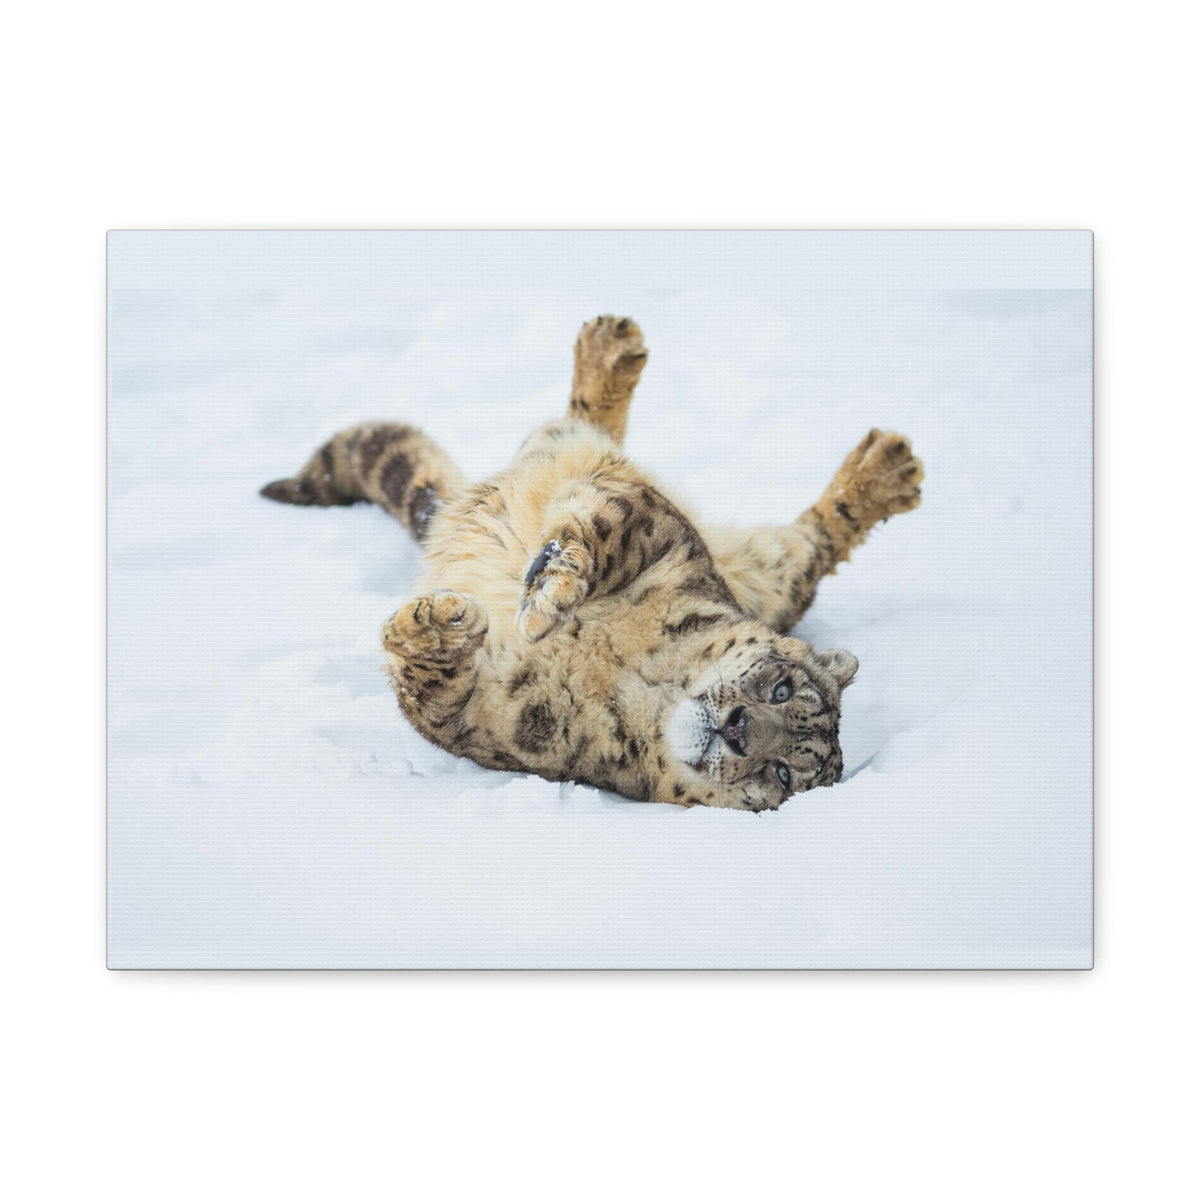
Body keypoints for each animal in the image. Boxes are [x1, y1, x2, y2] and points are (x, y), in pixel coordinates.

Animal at [261, 316, 923, 811]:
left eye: (783, 774)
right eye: (782, 689)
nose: (738, 729)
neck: (640, 678)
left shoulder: (500, 725)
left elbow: (435, 696)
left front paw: (447, 627)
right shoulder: (662, 532)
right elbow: (604, 528)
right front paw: (543, 597)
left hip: (773, 576)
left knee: (813, 547)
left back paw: (888, 472)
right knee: (579, 428)